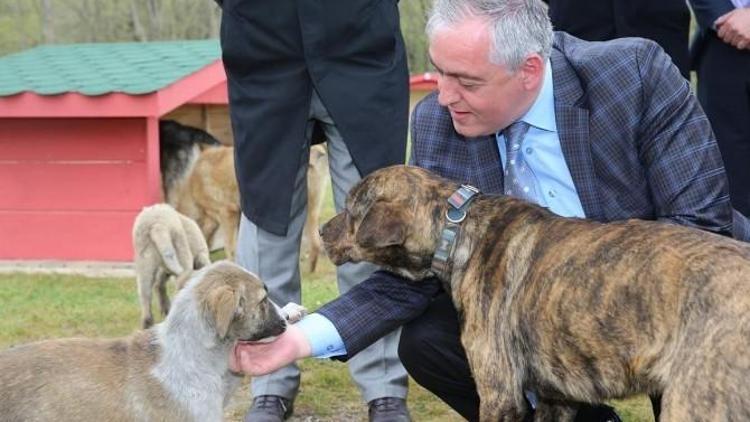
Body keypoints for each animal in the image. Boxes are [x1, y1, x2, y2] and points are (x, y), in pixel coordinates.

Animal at [320, 165, 750, 422]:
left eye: (351, 210)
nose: (322, 230)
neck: (457, 227)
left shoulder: (499, 392)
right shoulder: (554, 397)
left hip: (693, 404)